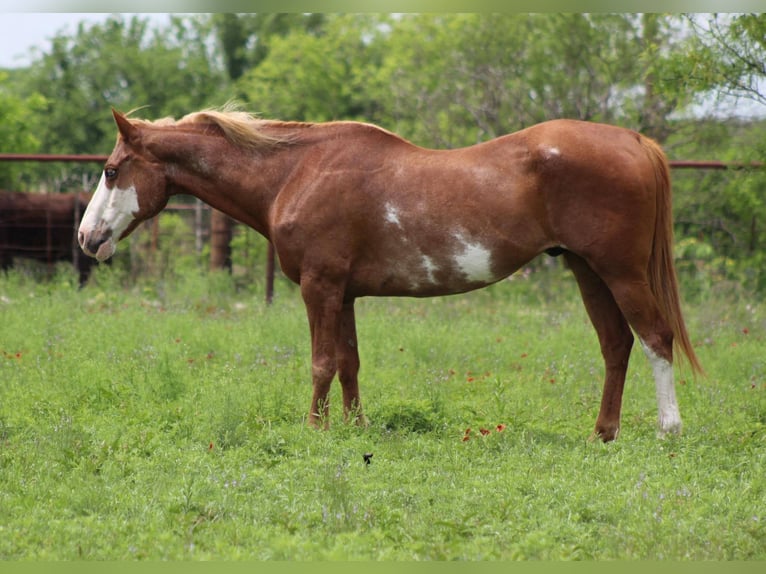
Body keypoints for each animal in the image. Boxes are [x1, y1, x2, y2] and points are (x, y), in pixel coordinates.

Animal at [78, 107, 703, 441]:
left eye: (110, 171)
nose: (87, 239)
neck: (295, 172)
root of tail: (634, 140)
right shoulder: (345, 294)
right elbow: (350, 364)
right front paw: (355, 428)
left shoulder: (320, 287)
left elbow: (322, 363)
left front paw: (316, 431)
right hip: (587, 271)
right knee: (616, 345)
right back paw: (602, 434)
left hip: (619, 271)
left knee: (655, 338)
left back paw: (667, 431)